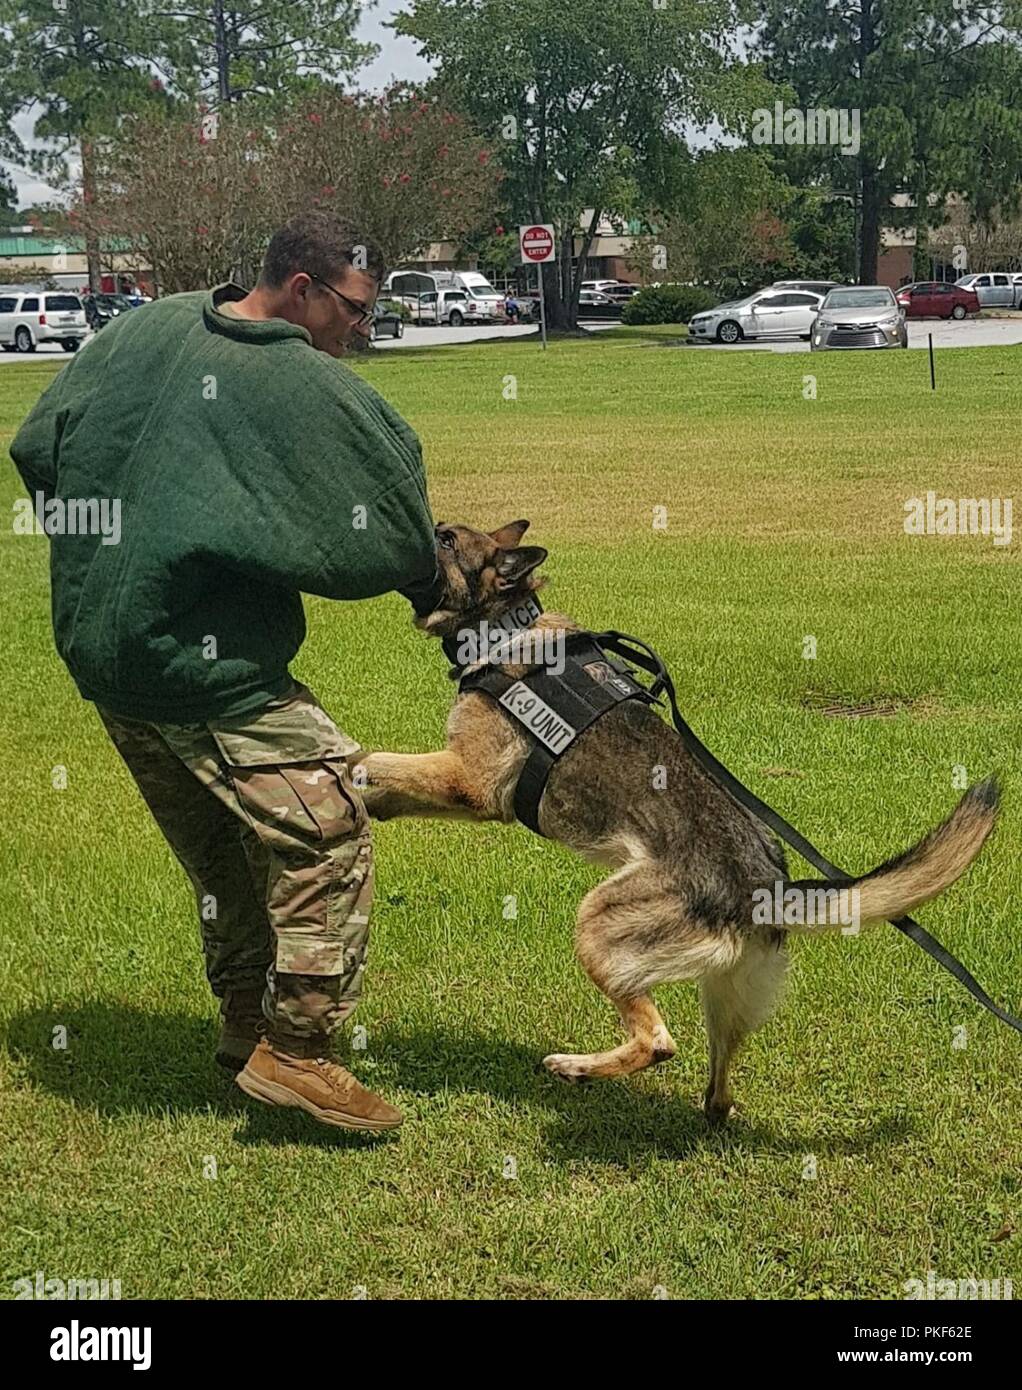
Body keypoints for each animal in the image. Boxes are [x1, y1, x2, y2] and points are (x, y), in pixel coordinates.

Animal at [358, 522, 1001, 1117]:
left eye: (445, 539)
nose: (414, 529)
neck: (508, 626)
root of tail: (765, 889)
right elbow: (401, 781)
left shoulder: (470, 782)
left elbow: (381, 760)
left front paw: (352, 771)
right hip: (724, 997)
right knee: (718, 1091)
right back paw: (700, 1112)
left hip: (597, 926)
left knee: (658, 1042)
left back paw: (576, 1068)